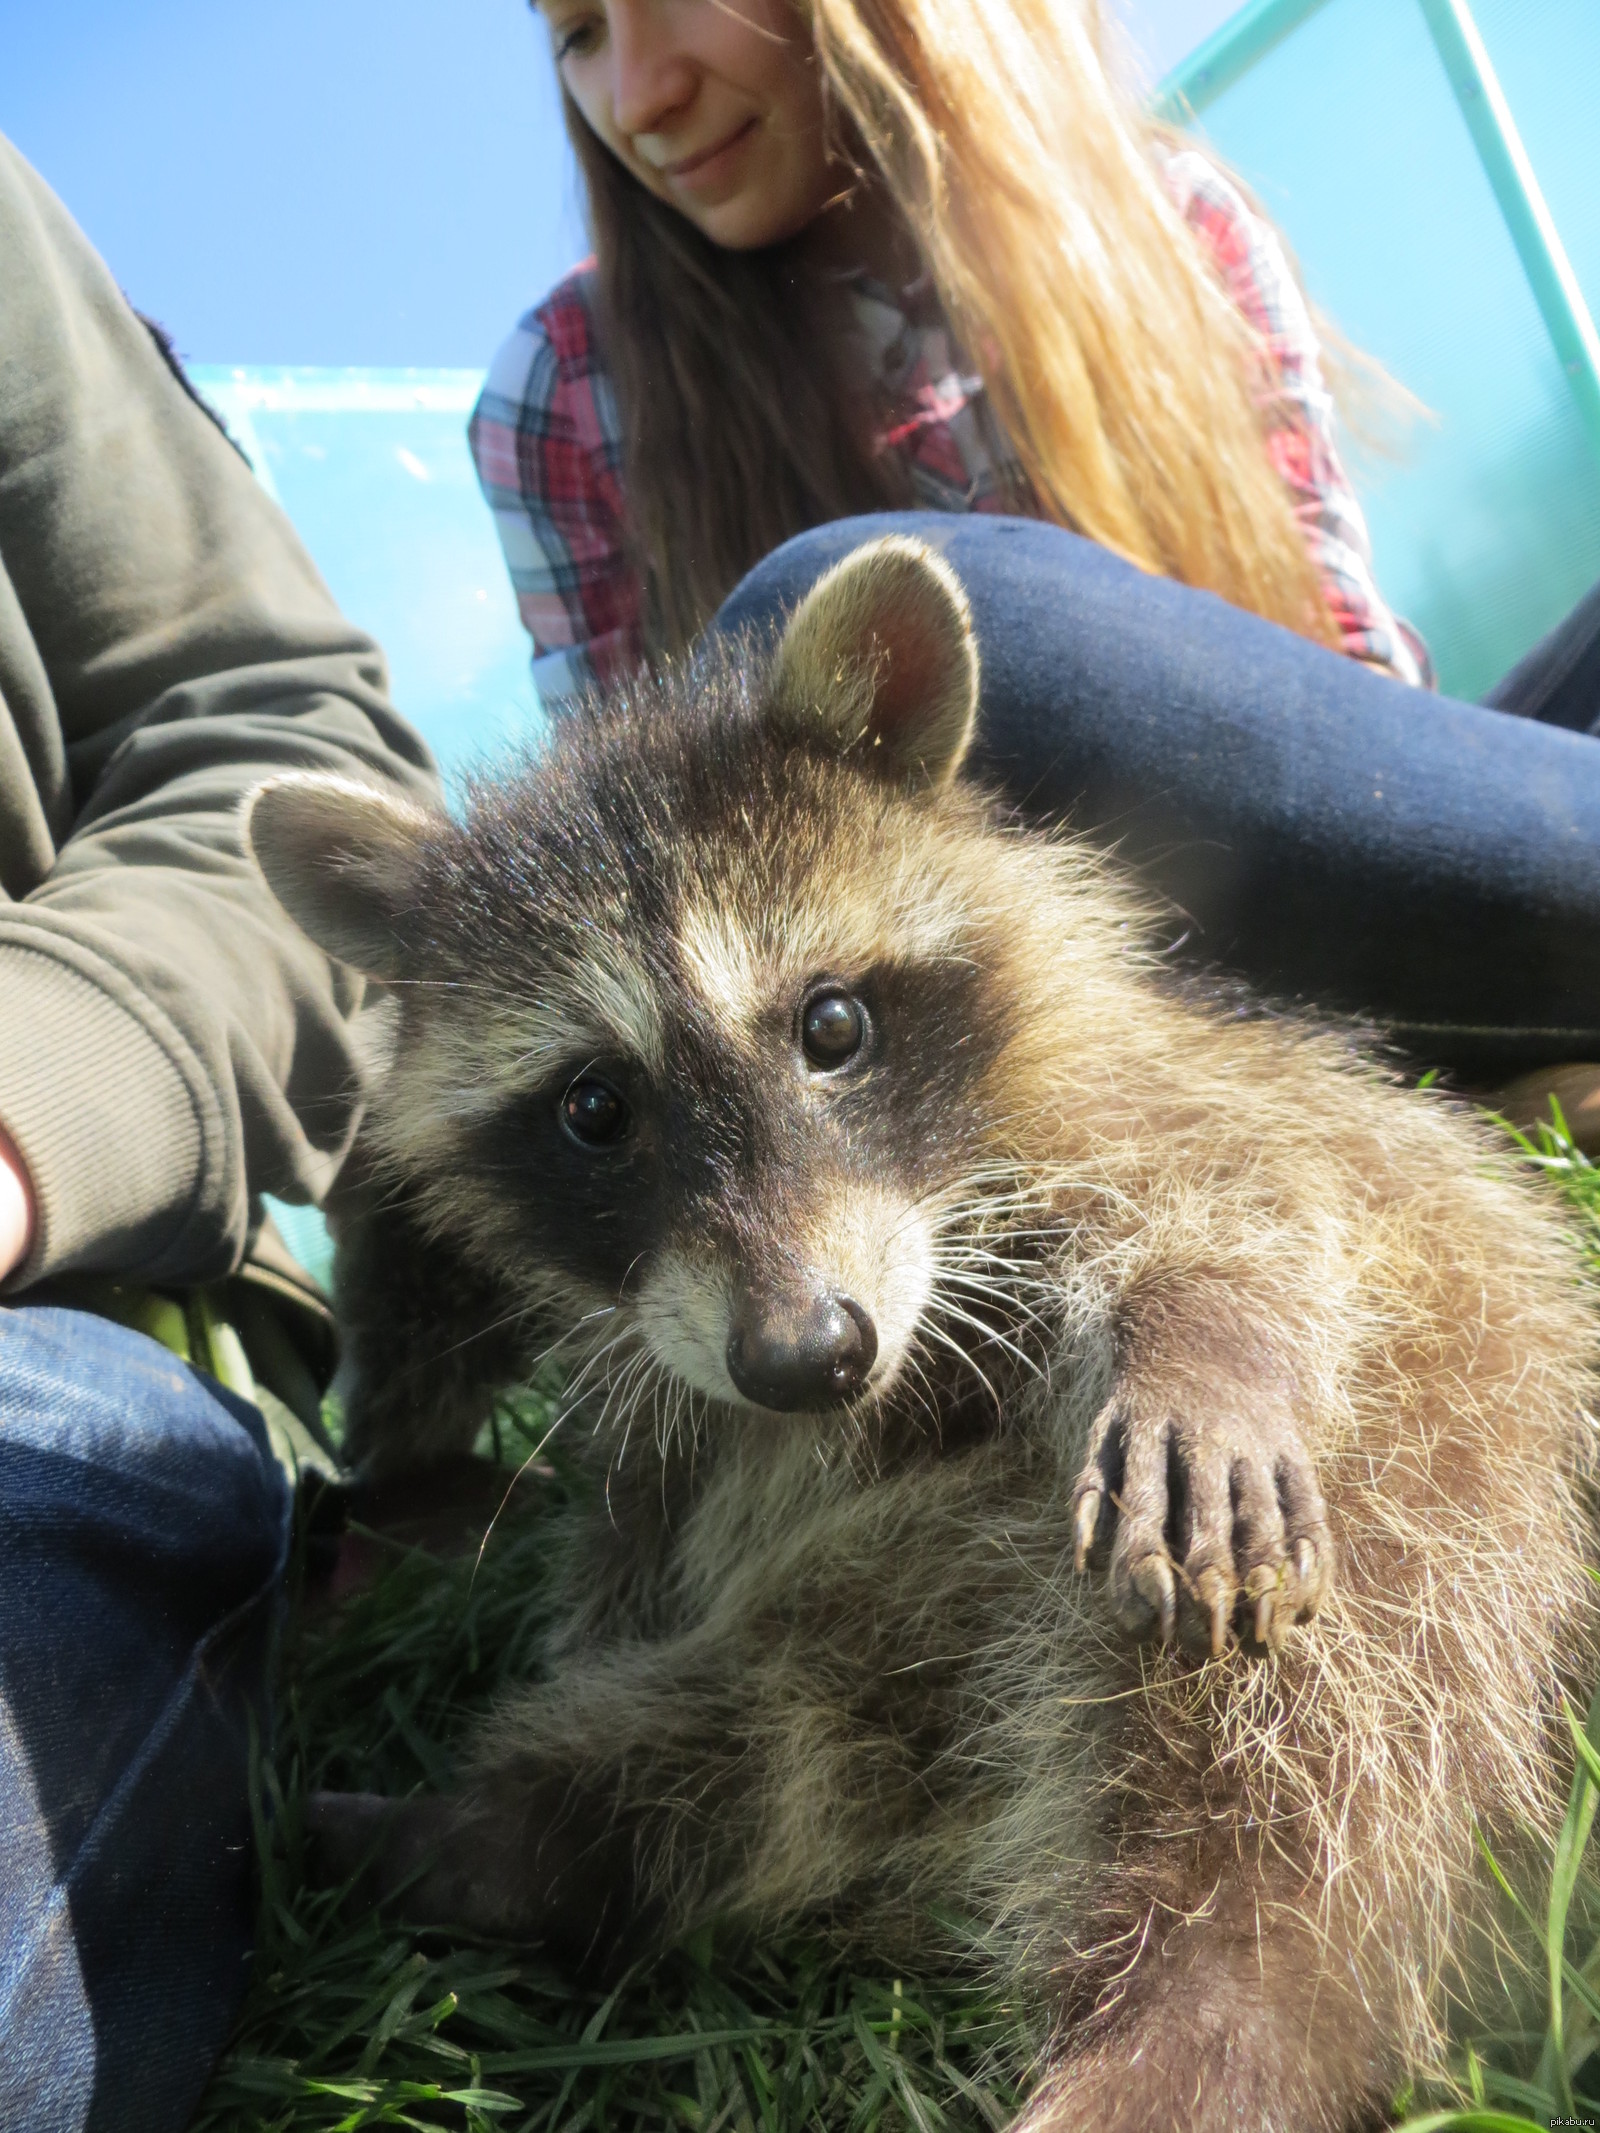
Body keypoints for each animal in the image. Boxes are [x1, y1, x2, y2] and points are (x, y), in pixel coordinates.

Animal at [247, 537, 1600, 2133]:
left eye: (831, 1026)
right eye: (593, 1108)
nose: (804, 1354)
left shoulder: (1188, 1108)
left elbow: (1261, 1198)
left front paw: (1207, 1344)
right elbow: (633, 1547)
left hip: (1423, 1487)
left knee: (1283, 1801)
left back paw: (1202, 2027)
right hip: (865, 1660)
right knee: (728, 1745)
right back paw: (495, 1845)